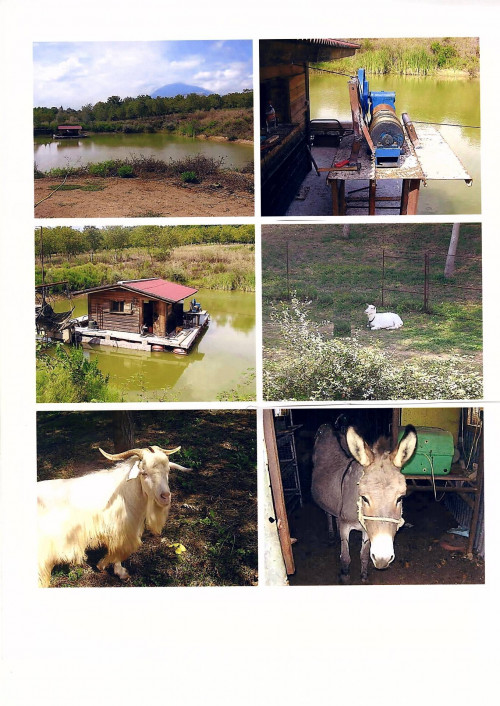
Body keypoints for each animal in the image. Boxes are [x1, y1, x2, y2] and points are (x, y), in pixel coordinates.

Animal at [36, 442, 189, 584]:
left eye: (168, 470)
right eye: (144, 472)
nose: (165, 496)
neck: (124, 491)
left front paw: (103, 565)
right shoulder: (119, 528)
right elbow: (118, 550)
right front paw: (118, 571)